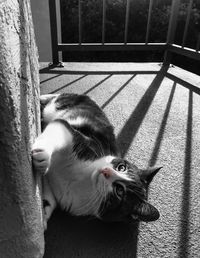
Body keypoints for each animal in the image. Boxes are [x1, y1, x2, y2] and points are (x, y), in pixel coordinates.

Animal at [32, 93, 161, 230]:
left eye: (120, 191)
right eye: (121, 167)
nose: (106, 170)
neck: (83, 178)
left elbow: (49, 198)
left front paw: (43, 215)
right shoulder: (81, 140)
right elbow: (59, 130)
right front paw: (43, 155)